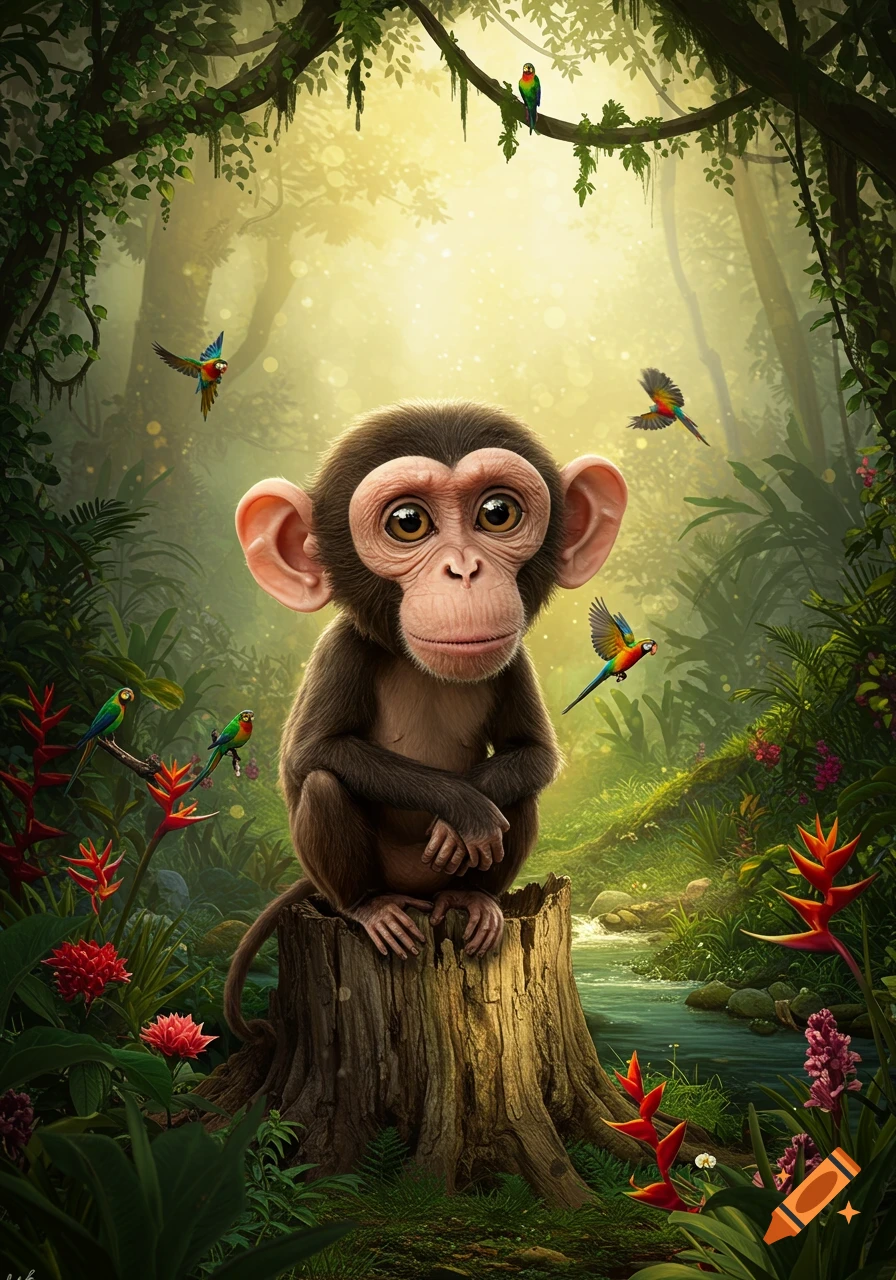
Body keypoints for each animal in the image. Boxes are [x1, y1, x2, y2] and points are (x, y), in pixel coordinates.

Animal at [224, 400, 627, 1041]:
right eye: (408, 523)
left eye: (497, 513)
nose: (463, 570)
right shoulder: (343, 648)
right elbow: (313, 753)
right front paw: (461, 808)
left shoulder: (514, 660)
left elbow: (534, 753)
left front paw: (467, 812)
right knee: (324, 787)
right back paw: (371, 906)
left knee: (519, 796)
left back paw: (474, 899)